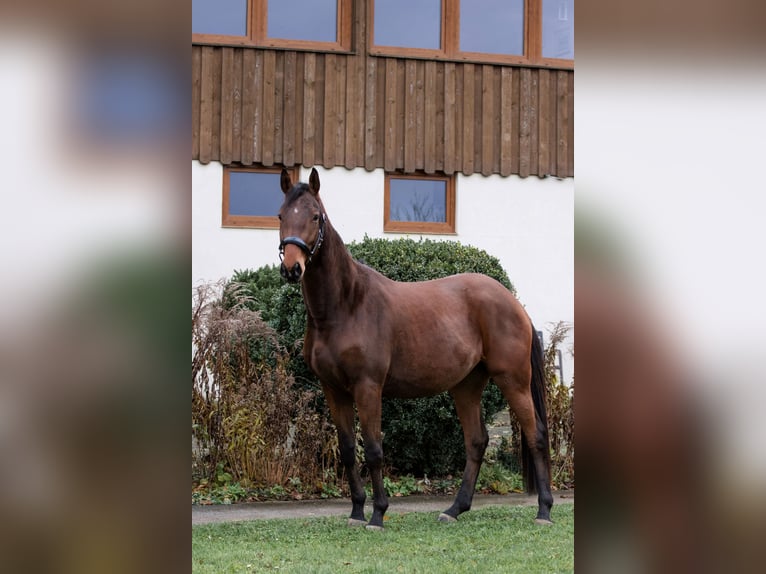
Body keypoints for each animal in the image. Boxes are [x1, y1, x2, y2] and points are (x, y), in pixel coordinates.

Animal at [280, 168, 556, 532]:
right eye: (281, 215)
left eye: (315, 216)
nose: (291, 268)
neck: (347, 305)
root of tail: (514, 303)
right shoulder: (333, 389)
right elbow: (348, 449)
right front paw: (356, 512)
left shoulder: (368, 387)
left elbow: (374, 450)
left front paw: (378, 515)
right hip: (466, 385)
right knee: (476, 441)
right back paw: (454, 509)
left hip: (513, 379)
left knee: (535, 434)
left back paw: (544, 510)